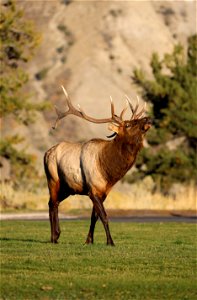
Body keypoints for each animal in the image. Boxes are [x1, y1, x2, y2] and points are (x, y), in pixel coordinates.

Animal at [43, 85, 152, 245]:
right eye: (128, 124)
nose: (148, 118)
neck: (108, 171)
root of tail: (46, 153)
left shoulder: (103, 192)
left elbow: (94, 217)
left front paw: (89, 240)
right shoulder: (93, 190)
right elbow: (104, 216)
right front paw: (110, 242)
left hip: (67, 188)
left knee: (54, 202)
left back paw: (56, 235)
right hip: (52, 179)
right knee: (52, 203)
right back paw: (53, 237)